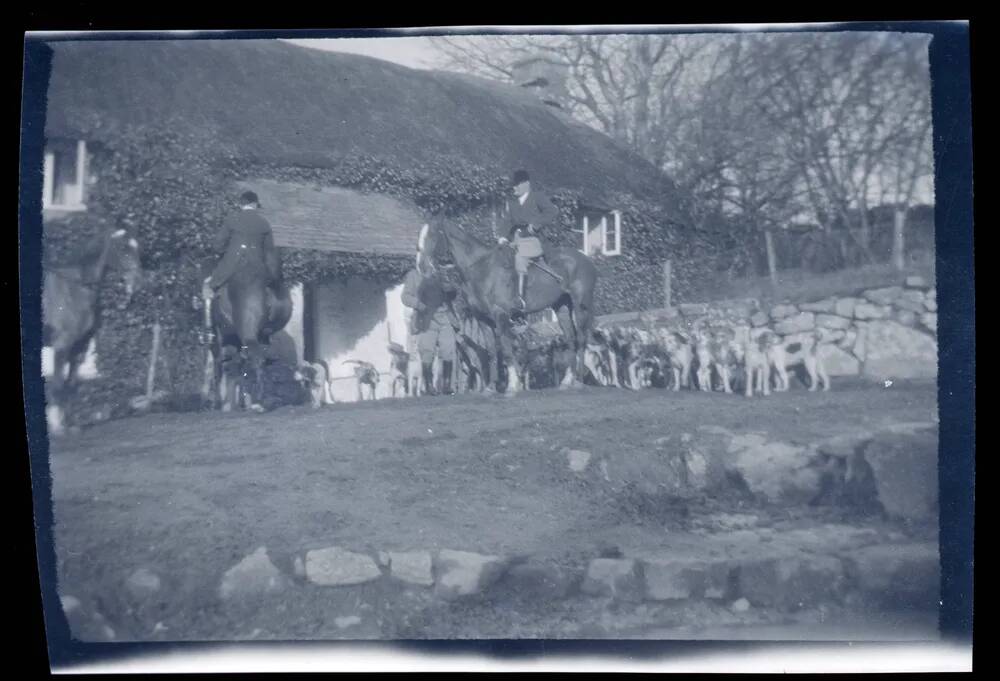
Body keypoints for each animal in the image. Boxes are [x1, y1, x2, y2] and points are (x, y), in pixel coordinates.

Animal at [43, 226, 143, 432]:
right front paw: (57, 426)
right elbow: (58, 385)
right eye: (123, 249)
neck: (75, 289)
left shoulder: (79, 347)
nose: (137, 282)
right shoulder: (62, 345)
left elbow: (71, 385)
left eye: (138, 248)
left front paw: (70, 424)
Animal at [204, 248, 292, 410]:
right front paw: (240, 401)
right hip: (262, 336)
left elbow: (219, 366)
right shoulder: (238, 342)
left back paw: (260, 400)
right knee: (262, 359)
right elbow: (240, 367)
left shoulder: (218, 340)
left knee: (257, 359)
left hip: (248, 338)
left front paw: (217, 402)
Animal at [416, 219, 596, 394]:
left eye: (432, 235)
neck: (481, 268)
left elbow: (506, 348)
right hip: (561, 307)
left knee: (581, 338)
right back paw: (567, 381)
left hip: (581, 306)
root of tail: (585, 258)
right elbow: (491, 351)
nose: (421, 266)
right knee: (571, 338)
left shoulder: (500, 315)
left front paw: (512, 385)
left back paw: (579, 380)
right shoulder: (483, 319)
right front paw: (491, 387)